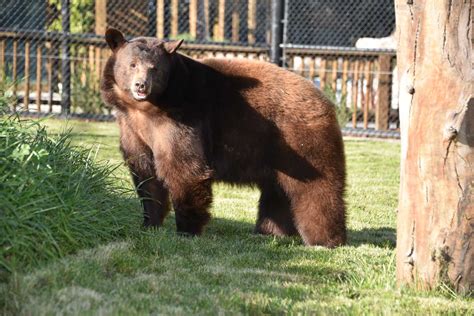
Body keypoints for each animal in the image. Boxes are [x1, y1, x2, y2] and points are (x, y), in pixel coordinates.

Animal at [100, 28, 346, 247]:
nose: (141, 85)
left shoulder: (182, 118)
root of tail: (324, 100)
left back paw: (324, 240)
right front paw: (149, 223)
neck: (148, 109)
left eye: (155, 68)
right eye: (132, 64)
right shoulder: (133, 128)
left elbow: (184, 169)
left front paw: (187, 229)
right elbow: (145, 173)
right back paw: (269, 232)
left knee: (317, 187)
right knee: (278, 191)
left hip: (300, 142)